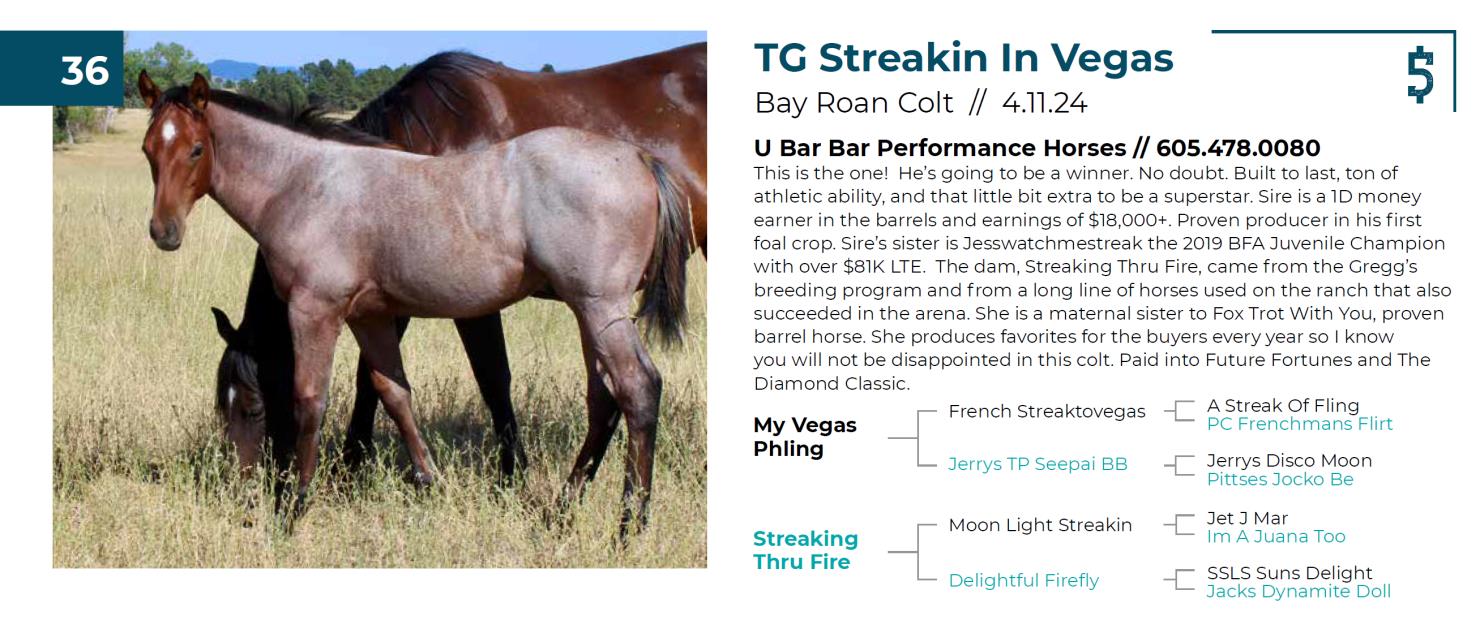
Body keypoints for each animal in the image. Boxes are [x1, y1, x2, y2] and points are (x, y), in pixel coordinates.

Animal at [139, 71, 692, 534]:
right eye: (148, 150)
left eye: (195, 149)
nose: (164, 232)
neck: (308, 183)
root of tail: (640, 160)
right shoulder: (371, 316)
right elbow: (393, 390)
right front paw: (431, 482)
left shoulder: (316, 310)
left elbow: (310, 400)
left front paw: (292, 507)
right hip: (586, 311)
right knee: (604, 399)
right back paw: (562, 509)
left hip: (601, 308)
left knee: (639, 388)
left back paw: (630, 525)